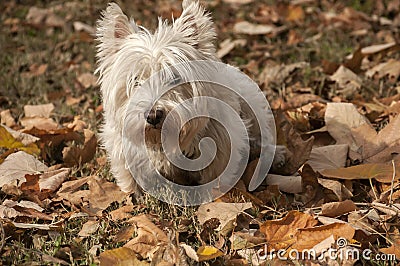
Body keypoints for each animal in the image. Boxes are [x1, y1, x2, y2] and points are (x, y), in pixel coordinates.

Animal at [96, 0, 284, 195]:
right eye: (135, 80)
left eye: (174, 77)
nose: (153, 116)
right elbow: (129, 178)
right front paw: (133, 194)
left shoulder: (222, 145)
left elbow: (216, 179)